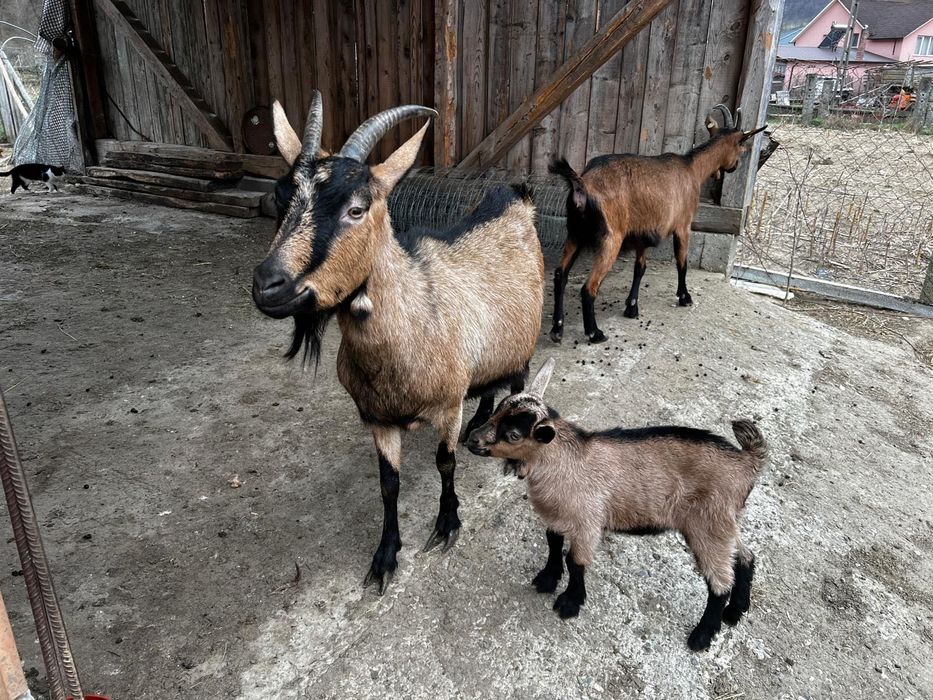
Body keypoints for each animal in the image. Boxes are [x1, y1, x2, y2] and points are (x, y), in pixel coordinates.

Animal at [252, 91, 545, 594]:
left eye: (356, 208)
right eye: (278, 196)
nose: (268, 285)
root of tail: (515, 196)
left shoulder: (446, 405)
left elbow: (445, 463)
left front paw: (446, 525)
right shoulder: (378, 418)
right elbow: (389, 483)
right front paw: (385, 557)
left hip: (522, 339)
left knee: (516, 380)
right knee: (486, 384)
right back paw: (480, 420)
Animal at [466, 358, 766, 651]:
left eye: (514, 435)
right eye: (496, 411)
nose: (471, 439)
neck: (562, 461)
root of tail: (747, 462)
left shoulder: (587, 521)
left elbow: (575, 561)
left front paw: (570, 603)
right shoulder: (556, 514)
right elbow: (552, 543)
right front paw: (547, 579)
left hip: (707, 524)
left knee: (720, 583)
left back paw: (703, 635)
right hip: (724, 522)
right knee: (745, 557)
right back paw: (736, 612)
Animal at [548, 105, 767, 344]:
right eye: (741, 147)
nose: (735, 166)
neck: (692, 169)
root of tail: (582, 184)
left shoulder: (643, 233)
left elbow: (640, 268)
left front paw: (632, 307)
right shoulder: (683, 226)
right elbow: (682, 263)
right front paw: (684, 297)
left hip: (575, 233)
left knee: (560, 275)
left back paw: (557, 329)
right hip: (611, 238)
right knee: (589, 288)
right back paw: (595, 333)